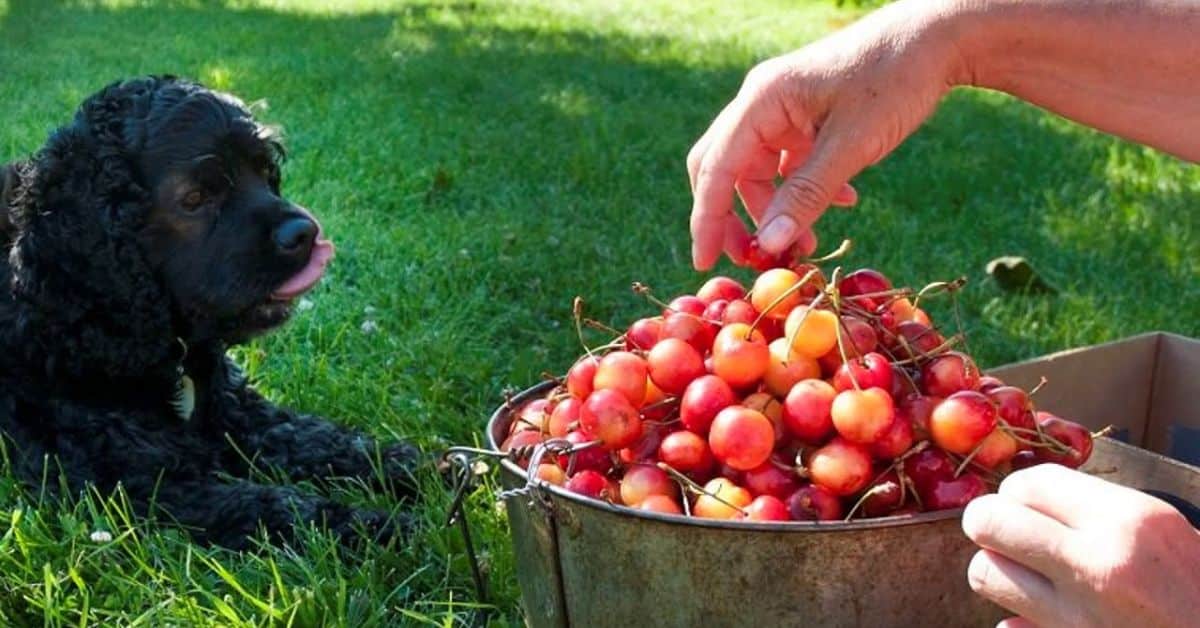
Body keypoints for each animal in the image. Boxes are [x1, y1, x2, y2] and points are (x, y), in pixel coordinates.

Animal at [0, 76, 422, 549]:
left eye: (266, 172)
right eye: (196, 197)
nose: (306, 232)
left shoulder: (237, 410)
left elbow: (313, 438)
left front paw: (417, 467)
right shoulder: (134, 480)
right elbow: (269, 505)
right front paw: (381, 528)